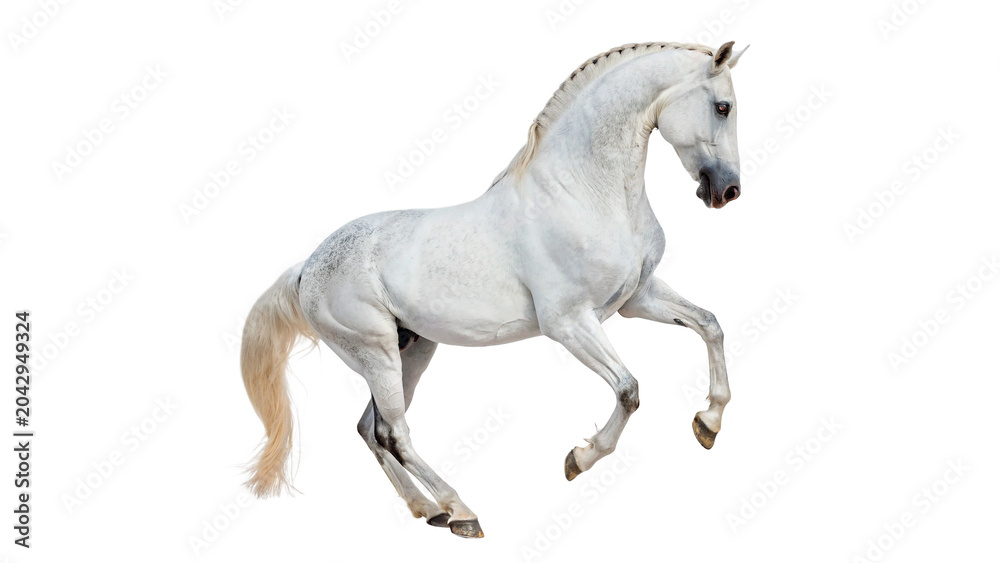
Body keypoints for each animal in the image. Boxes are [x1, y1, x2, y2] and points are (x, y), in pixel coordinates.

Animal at [240, 40, 747, 538]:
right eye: (723, 106)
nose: (727, 191)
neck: (584, 193)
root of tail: (307, 267)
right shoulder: (568, 322)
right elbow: (629, 389)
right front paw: (579, 460)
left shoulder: (636, 299)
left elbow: (710, 324)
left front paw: (708, 423)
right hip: (374, 351)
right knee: (395, 433)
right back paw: (461, 512)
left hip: (412, 349)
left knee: (372, 430)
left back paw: (428, 510)